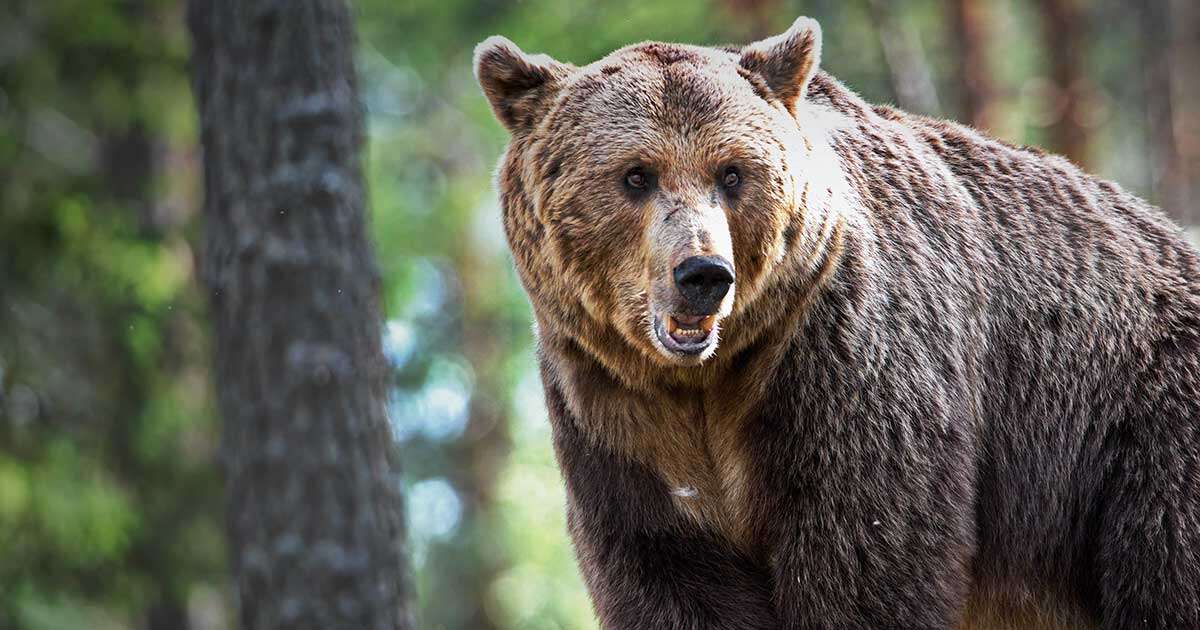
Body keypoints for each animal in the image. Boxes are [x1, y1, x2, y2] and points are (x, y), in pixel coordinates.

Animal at [472, 14, 1195, 628]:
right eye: (635, 175)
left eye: (732, 172)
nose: (703, 274)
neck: (710, 378)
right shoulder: (617, 421)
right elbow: (666, 570)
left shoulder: (841, 367)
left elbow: (867, 553)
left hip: (1136, 433)